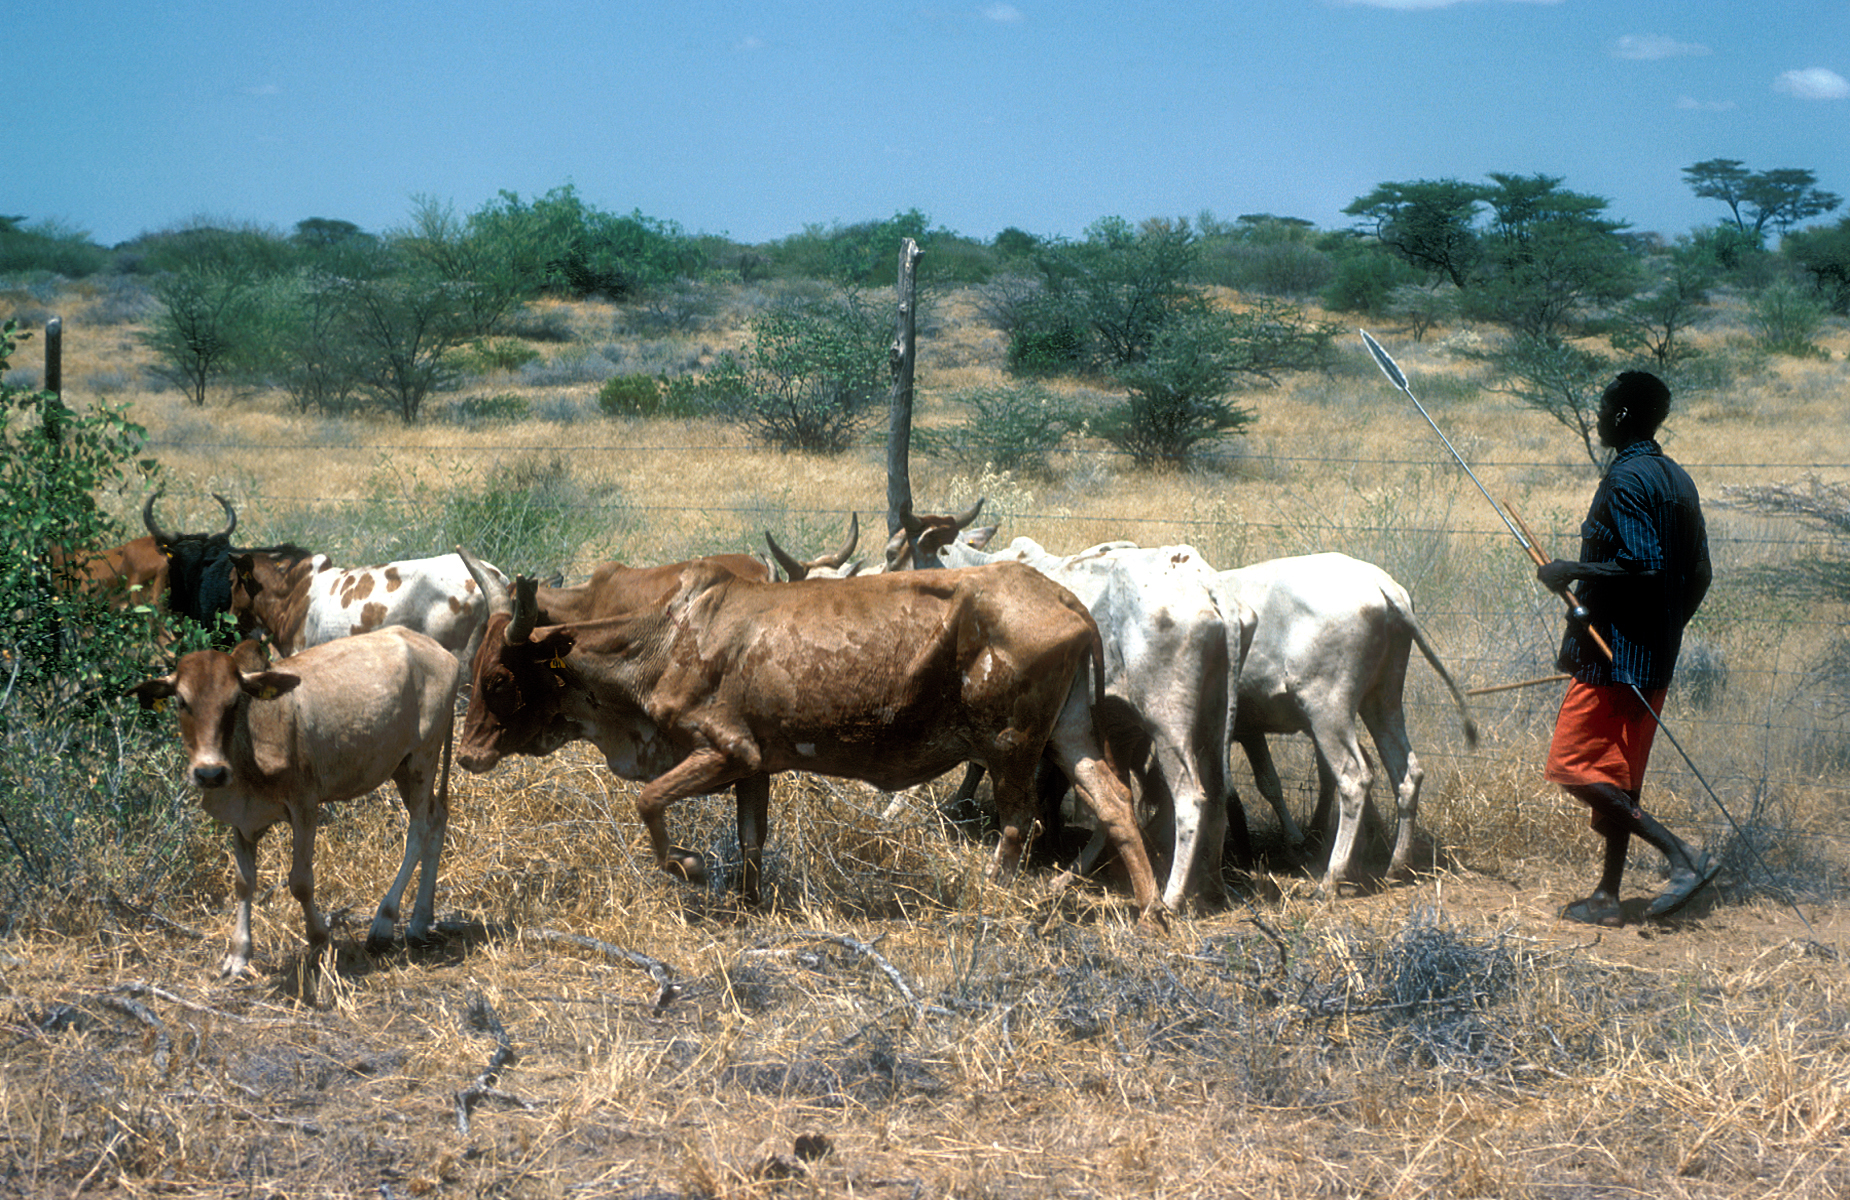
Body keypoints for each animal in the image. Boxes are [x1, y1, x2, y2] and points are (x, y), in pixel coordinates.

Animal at [130, 627, 462, 976]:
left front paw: (319, 939)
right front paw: (238, 954)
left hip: (423, 758)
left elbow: (300, 882)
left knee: (419, 831)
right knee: (436, 819)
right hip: (402, 768)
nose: (210, 773)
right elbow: (243, 882)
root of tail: (438, 650)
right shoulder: (241, 818)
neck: (248, 746)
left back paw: (384, 924)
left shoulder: (305, 806)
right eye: (182, 702)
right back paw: (420, 921)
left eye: (234, 701)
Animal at [455, 548, 1167, 929]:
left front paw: (689, 867)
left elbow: (649, 802)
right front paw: (745, 905)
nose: (466, 755)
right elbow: (749, 840)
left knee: (1020, 820)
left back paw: (992, 893)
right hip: (1067, 735)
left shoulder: (726, 750)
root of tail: (1070, 602)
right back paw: (1150, 909)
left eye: (498, 678)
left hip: (1009, 744)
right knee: (1113, 803)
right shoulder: (755, 766)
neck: (663, 635)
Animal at [1207, 552, 1479, 891]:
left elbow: (1253, 785)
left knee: (1353, 778)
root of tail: (1380, 583)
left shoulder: (1242, 729)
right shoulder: (1245, 728)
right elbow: (1261, 784)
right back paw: (1394, 865)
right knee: (1406, 774)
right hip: (1382, 699)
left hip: (1327, 709)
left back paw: (1332, 876)